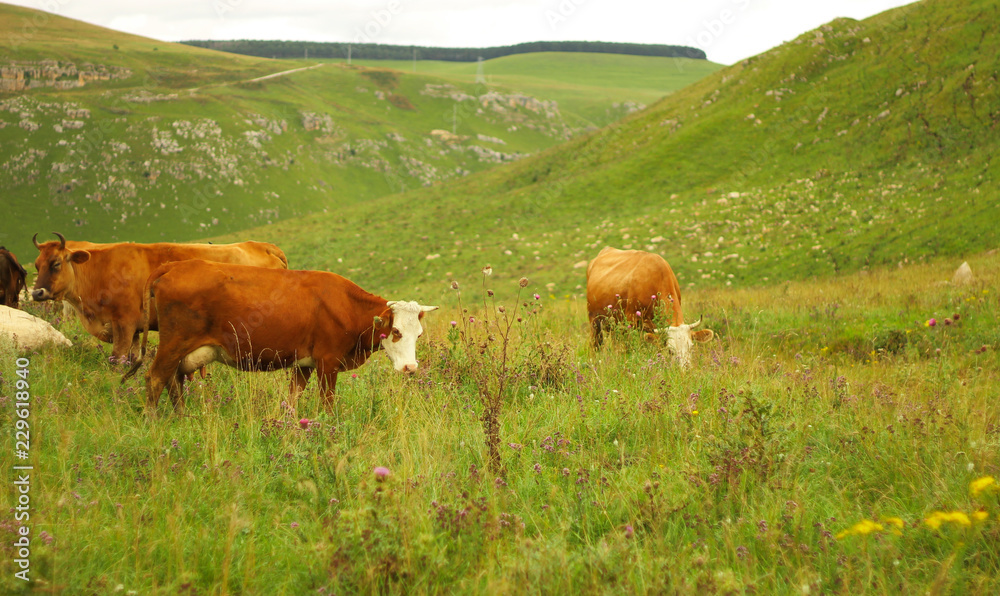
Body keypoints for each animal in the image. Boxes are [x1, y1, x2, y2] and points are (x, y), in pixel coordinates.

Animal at [30, 233, 288, 362]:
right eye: (36, 265)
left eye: (56, 263)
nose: (36, 292)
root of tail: (264, 246)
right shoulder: (134, 329)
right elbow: (131, 357)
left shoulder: (124, 323)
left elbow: (117, 358)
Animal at [121, 259, 438, 412]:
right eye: (395, 331)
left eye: (419, 334)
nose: (410, 367)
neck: (347, 305)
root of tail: (174, 265)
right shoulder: (327, 362)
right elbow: (327, 403)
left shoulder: (304, 364)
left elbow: (293, 398)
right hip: (173, 344)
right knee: (155, 379)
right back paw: (154, 423)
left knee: (173, 382)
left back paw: (182, 417)